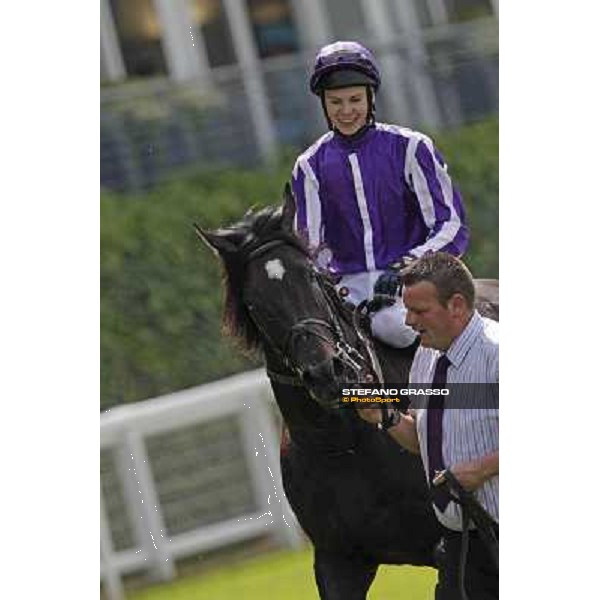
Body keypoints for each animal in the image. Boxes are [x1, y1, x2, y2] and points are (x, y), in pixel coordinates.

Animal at [196, 185, 496, 596]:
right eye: (253, 301)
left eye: (311, 276)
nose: (327, 372)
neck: (342, 443)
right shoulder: (337, 561)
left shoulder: (455, 546)